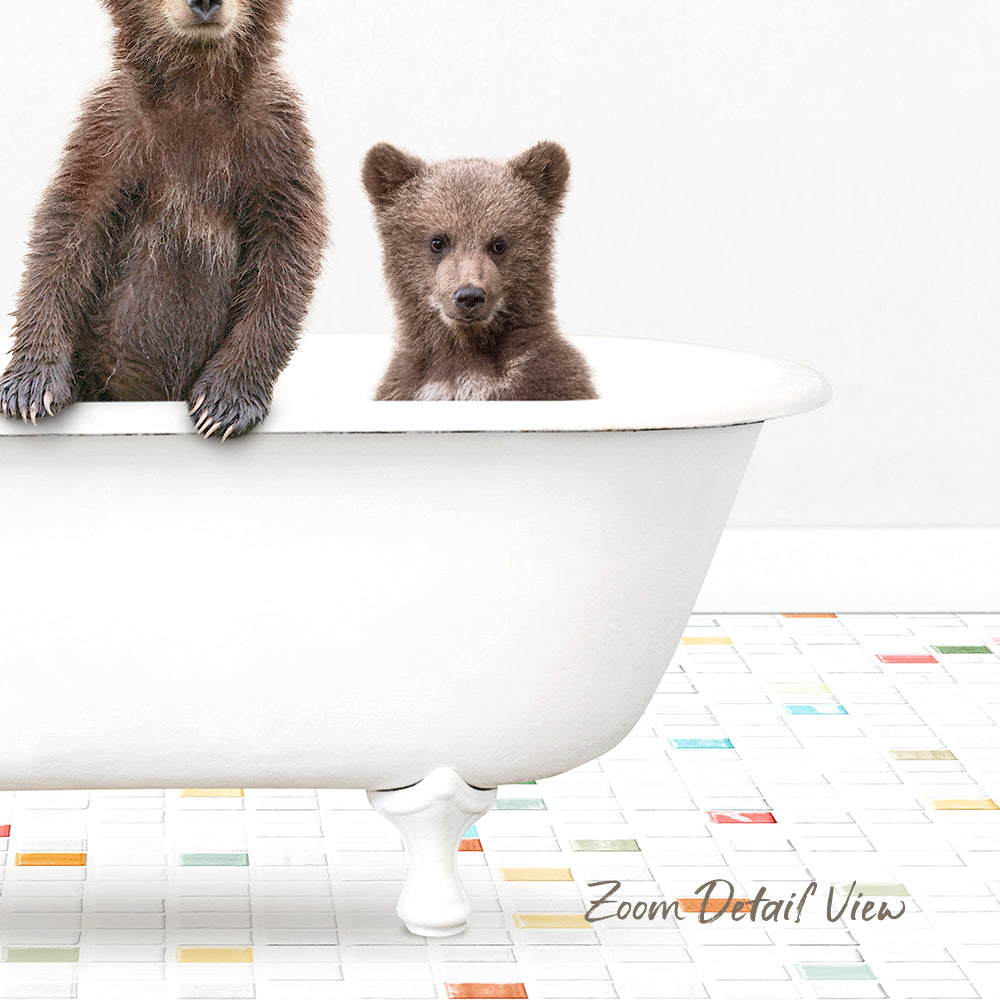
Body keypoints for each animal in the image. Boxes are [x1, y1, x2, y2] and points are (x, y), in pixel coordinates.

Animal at [0, 0, 327, 439]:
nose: (204, 3)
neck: (195, 87)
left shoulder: (273, 137)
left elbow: (284, 253)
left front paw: (224, 403)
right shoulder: (114, 130)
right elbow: (67, 230)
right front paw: (31, 386)